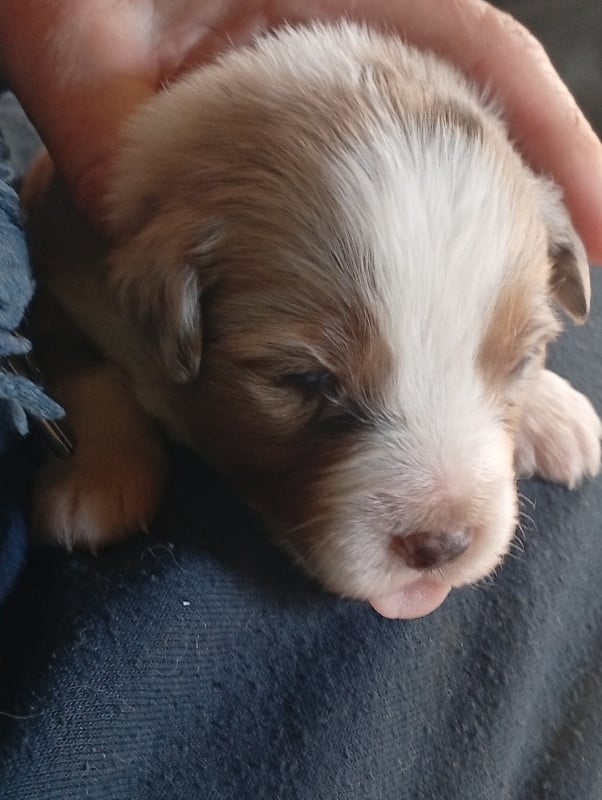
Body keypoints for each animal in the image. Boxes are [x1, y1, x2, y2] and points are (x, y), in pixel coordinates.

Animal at [24, 23, 601, 618]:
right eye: (306, 379)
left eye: (522, 361)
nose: (442, 545)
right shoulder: (59, 273)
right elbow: (90, 377)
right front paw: (97, 480)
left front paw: (555, 413)